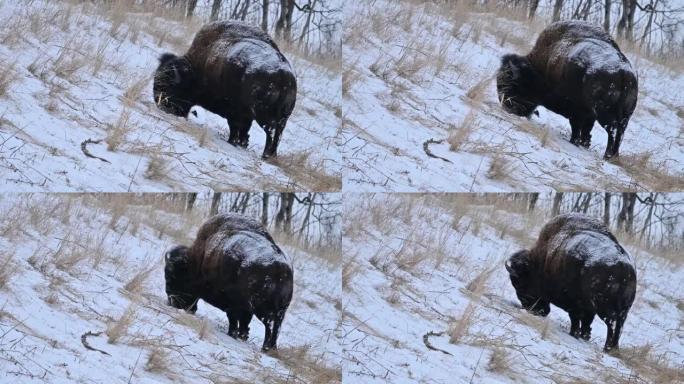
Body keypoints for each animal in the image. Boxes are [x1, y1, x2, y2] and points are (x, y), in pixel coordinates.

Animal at [154, 20, 296, 159]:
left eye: (168, 85)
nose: (159, 102)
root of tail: (284, 76)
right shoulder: (244, 115)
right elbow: (243, 129)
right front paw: (242, 143)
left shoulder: (235, 112)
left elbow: (236, 127)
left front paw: (234, 142)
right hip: (282, 118)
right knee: (278, 133)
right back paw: (271, 155)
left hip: (264, 117)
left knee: (270, 132)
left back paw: (265, 155)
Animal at [167, 213, 296, 352]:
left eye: (170, 278)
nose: (172, 302)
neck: (199, 259)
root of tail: (282, 268)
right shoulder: (244, 308)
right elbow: (243, 321)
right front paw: (242, 335)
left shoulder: (233, 304)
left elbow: (234, 319)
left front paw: (233, 334)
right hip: (280, 311)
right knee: (276, 327)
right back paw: (271, 348)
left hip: (265, 311)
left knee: (270, 326)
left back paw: (265, 348)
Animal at [494, 20, 640, 159]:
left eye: (512, 85)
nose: (506, 105)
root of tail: (623, 72)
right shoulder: (588, 115)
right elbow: (586, 129)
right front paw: (584, 143)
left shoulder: (577, 112)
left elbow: (577, 127)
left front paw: (575, 142)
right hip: (624, 116)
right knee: (620, 132)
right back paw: (613, 156)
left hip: (605, 115)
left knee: (612, 131)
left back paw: (607, 155)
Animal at [504, 213, 640, 352]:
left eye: (519, 283)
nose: (537, 311)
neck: (543, 260)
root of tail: (624, 266)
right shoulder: (587, 308)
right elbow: (585, 322)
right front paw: (584, 336)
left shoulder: (574, 304)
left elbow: (576, 319)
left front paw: (574, 334)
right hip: (623, 310)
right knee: (619, 326)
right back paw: (614, 348)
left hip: (606, 309)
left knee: (611, 325)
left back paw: (607, 348)